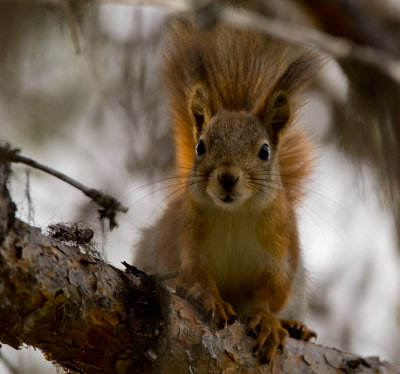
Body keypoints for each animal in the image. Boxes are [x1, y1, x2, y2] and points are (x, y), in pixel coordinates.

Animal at [134, 14, 322, 362]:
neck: (235, 215)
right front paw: (209, 298)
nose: (227, 177)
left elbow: (275, 289)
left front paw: (269, 321)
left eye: (265, 151)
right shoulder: (187, 238)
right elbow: (194, 271)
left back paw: (294, 326)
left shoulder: (282, 246)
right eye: (200, 147)